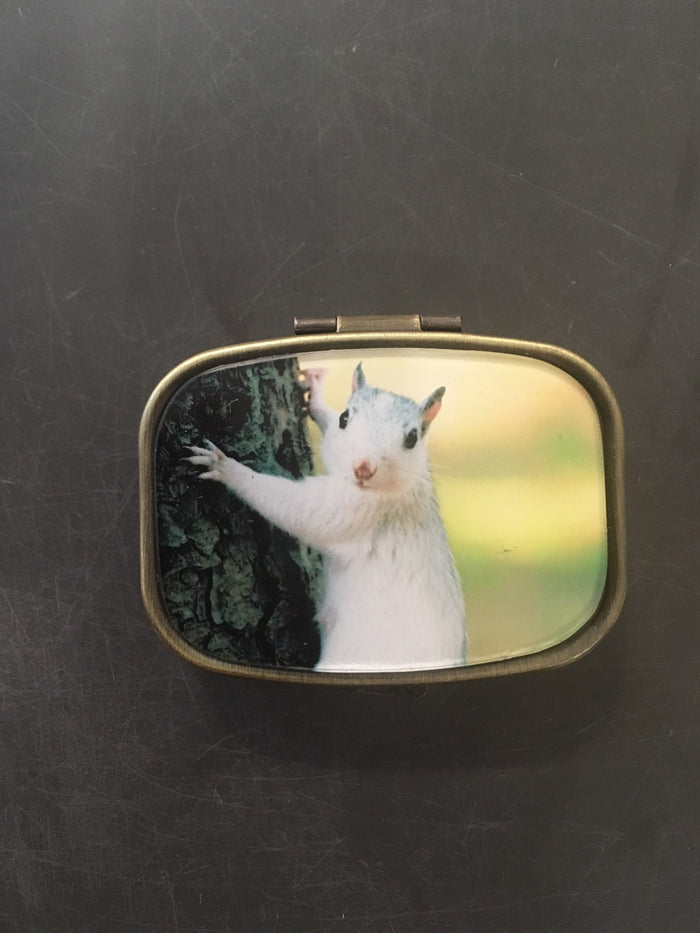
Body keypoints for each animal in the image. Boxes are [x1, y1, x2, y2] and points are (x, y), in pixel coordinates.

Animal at [187, 362, 467, 672]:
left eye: (412, 438)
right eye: (344, 418)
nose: (363, 468)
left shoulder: (359, 513)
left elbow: (298, 510)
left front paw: (226, 468)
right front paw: (317, 395)